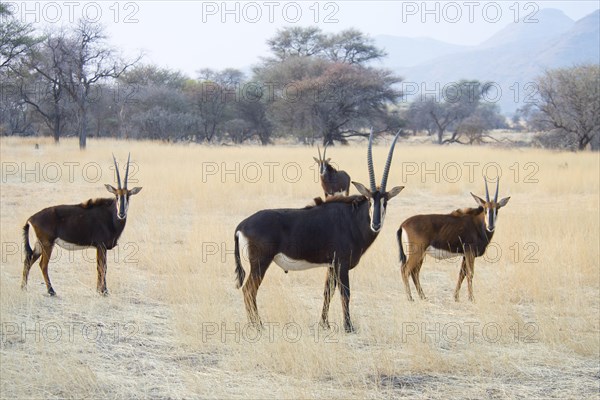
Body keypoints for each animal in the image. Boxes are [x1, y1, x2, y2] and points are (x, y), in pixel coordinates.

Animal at [21, 155, 142, 296]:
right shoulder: (101, 246)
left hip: (39, 244)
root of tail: (31, 218)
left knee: (28, 260)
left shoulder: (100, 248)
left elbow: (100, 267)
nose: (121, 213)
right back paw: (51, 291)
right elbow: (102, 267)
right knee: (43, 265)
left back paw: (23, 288)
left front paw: (100, 290)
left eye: (128, 196)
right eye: (116, 196)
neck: (110, 217)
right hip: (47, 244)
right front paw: (103, 291)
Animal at [234, 130, 404, 332]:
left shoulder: (331, 266)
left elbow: (327, 293)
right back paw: (258, 326)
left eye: (385, 201)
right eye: (370, 200)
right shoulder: (341, 264)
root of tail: (242, 225)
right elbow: (345, 293)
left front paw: (324, 324)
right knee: (249, 290)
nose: (376, 224)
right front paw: (348, 327)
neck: (352, 218)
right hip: (260, 263)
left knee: (249, 291)